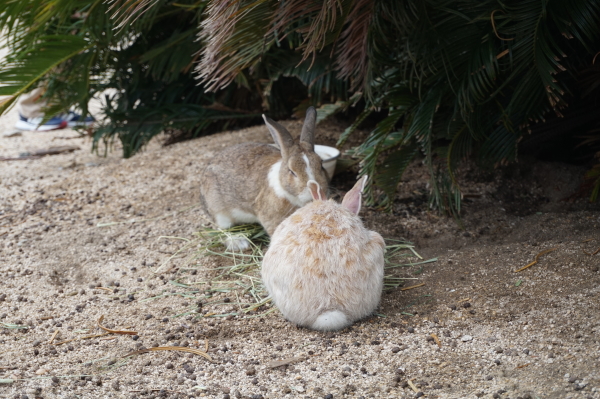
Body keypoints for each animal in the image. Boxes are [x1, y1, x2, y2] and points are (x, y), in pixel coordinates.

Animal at [198, 106, 328, 250]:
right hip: (219, 212)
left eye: (321, 164)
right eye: (292, 171)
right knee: (221, 231)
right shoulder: (271, 218)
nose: (315, 189)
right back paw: (239, 243)